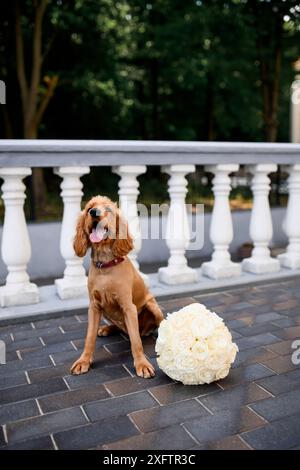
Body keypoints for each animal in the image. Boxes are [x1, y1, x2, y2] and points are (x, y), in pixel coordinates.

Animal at [70, 195, 164, 378]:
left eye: (108, 209)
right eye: (89, 208)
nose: (94, 212)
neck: (106, 267)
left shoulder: (128, 307)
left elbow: (136, 341)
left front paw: (142, 364)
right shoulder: (94, 307)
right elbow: (89, 338)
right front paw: (83, 361)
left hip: (153, 307)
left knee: (148, 328)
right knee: (121, 328)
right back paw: (107, 329)